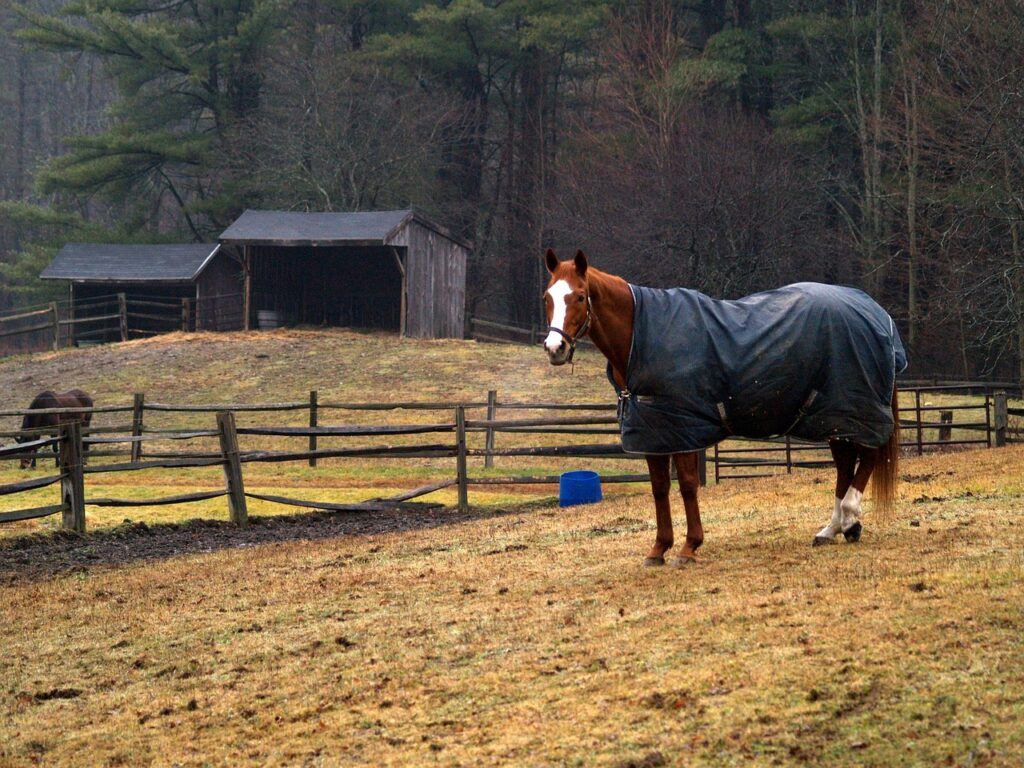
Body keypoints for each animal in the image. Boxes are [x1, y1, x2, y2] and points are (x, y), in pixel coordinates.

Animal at [542, 249, 904, 566]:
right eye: (548, 297)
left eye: (579, 296)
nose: (554, 348)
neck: (640, 339)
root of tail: (874, 311)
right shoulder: (653, 432)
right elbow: (659, 488)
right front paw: (658, 549)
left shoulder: (684, 428)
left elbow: (688, 486)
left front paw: (689, 547)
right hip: (835, 417)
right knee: (845, 465)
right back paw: (831, 529)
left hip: (853, 410)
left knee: (868, 455)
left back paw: (851, 519)